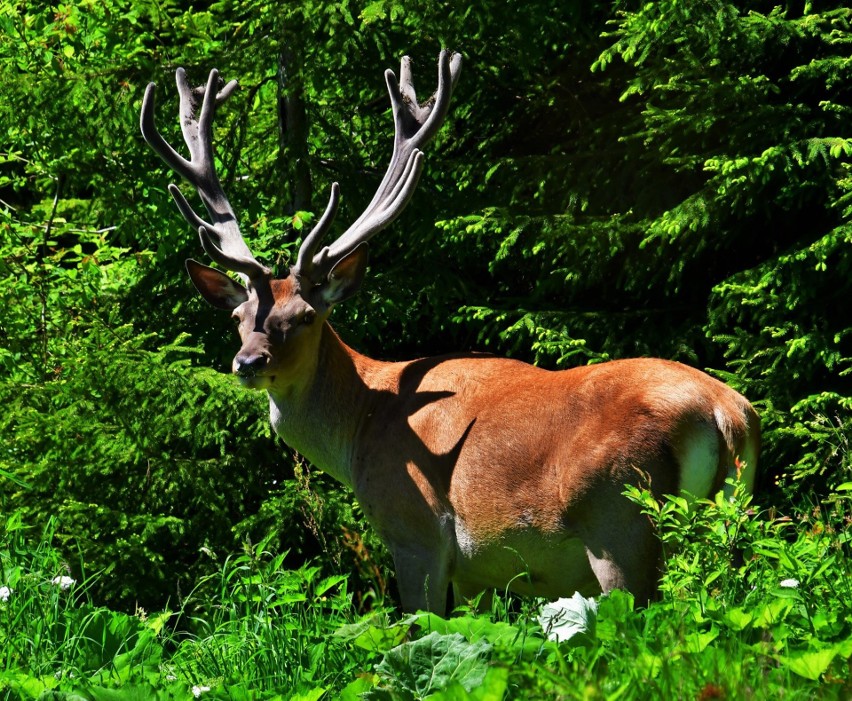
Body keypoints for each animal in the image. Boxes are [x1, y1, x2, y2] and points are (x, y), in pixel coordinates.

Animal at [140, 50, 760, 612]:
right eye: (238, 319)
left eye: (306, 317)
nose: (248, 363)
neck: (362, 427)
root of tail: (724, 412)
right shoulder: (480, 574)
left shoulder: (416, 531)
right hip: (734, 517)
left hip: (621, 521)